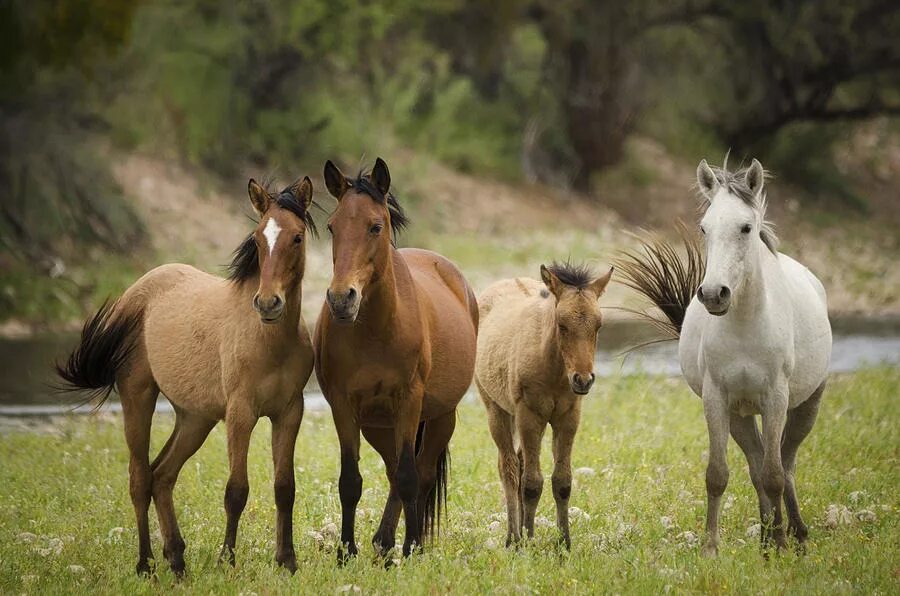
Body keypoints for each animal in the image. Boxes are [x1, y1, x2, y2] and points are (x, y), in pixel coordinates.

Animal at [55, 178, 316, 576]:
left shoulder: (289, 412)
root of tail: (136, 292)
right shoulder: (240, 414)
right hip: (138, 397)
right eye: (258, 239)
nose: (268, 303)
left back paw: (176, 558)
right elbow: (236, 491)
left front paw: (287, 561)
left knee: (162, 475)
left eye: (297, 237)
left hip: (195, 418)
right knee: (139, 478)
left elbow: (285, 487)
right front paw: (227, 560)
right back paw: (145, 563)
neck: (269, 340)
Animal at [312, 157, 478, 560]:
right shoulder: (343, 405)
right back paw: (382, 541)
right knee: (391, 472)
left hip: (441, 417)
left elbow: (409, 476)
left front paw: (411, 546)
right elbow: (350, 481)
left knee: (421, 472)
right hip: (378, 424)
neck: (376, 330)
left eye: (375, 226)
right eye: (332, 226)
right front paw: (346, 551)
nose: (341, 299)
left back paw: (404, 544)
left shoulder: (409, 400)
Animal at [474, 264, 616, 548]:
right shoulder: (529, 416)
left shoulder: (568, 417)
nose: (583, 379)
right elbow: (531, 483)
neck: (554, 369)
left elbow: (562, 481)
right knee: (508, 469)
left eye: (598, 325)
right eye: (562, 325)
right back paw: (513, 538)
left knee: (517, 462)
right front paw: (529, 540)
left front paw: (564, 543)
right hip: (497, 410)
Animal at [616, 157, 832, 556]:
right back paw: (766, 539)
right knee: (758, 464)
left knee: (786, 464)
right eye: (704, 228)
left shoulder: (776, 399)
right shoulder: (717, 399)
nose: (714, 294)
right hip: (740, 415)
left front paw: (782, 543)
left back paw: (795, 534)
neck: (746, 324)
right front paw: (710, 548)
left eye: (746, 227)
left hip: (806, 404)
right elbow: (719, 475)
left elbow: (775, 475)